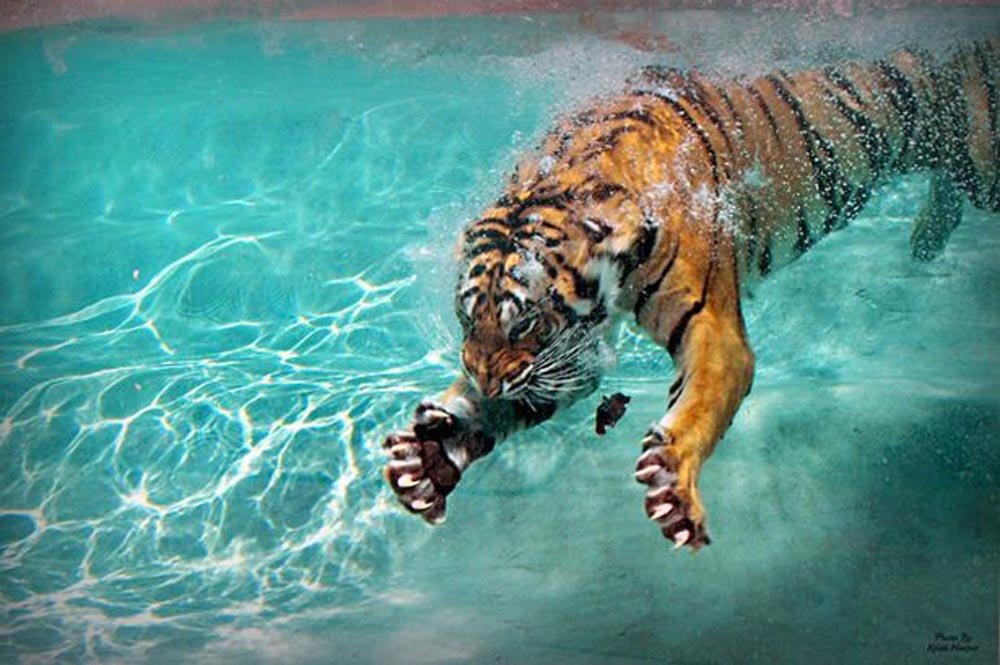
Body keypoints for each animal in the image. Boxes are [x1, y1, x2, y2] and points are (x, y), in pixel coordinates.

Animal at [381, 39, 999, 549]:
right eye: (466, 321)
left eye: (527, 323)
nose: (486, 379)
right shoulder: (571, 354)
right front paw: (429, 458)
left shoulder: (711, 329)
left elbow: (698, 403)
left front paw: (672, 482)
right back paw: (925, 239)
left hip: (982, 168)